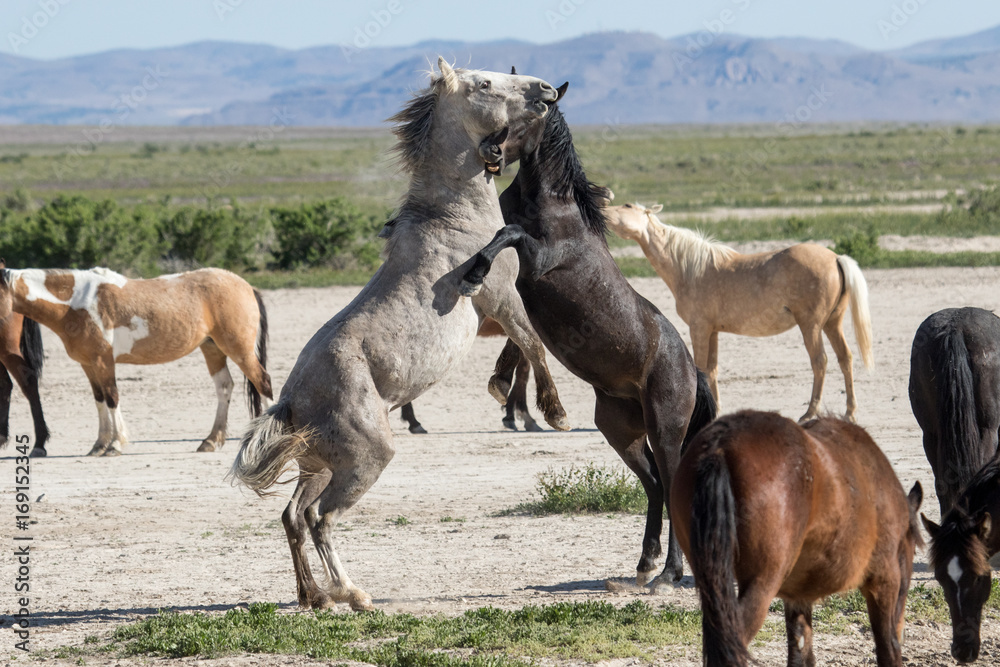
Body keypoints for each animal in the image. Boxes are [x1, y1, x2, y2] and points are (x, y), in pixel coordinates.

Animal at [459, 99, 717, 589]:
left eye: (532, 115)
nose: (490, 150)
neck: (552, 206)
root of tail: (691, 370)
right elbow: (521, 335)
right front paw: (507, 388)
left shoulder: (537, 262)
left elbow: (507, 237)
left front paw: (473, 273)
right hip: (621, 432)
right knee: (654, 484)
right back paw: (644, 564)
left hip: (665, 429)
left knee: (672, 484)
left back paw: (668, 574)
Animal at [603, 203, 874, 423]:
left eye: (627, 206)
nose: (603, 206)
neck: (690, 268)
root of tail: (836, 257)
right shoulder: (712, 332)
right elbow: (712, 369)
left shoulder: (699, 328)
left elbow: (701, 367)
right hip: (832, 323)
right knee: (845, 359)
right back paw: (850, 413)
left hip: (811, 326)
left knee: (820, 362)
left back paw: (809, 413)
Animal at [671, 410, 924, 667]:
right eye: (912, 551)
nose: (902, 630)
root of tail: (719, 445)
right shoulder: (884, 580)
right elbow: (888, 649)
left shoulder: (797, 597)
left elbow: (801, 654)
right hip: (760, 585)